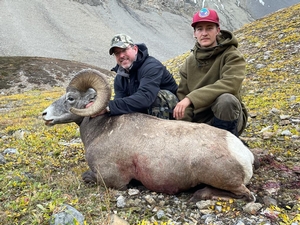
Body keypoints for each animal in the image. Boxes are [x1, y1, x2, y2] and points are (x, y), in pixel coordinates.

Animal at [42, 69, 258, 202]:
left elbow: (86, 176)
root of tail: (244, 155)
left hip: (222, 178)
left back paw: (198, 194)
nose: (44, 115)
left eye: (71, 98)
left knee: (247, 195)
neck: (103, 129)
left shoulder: (112, 178)